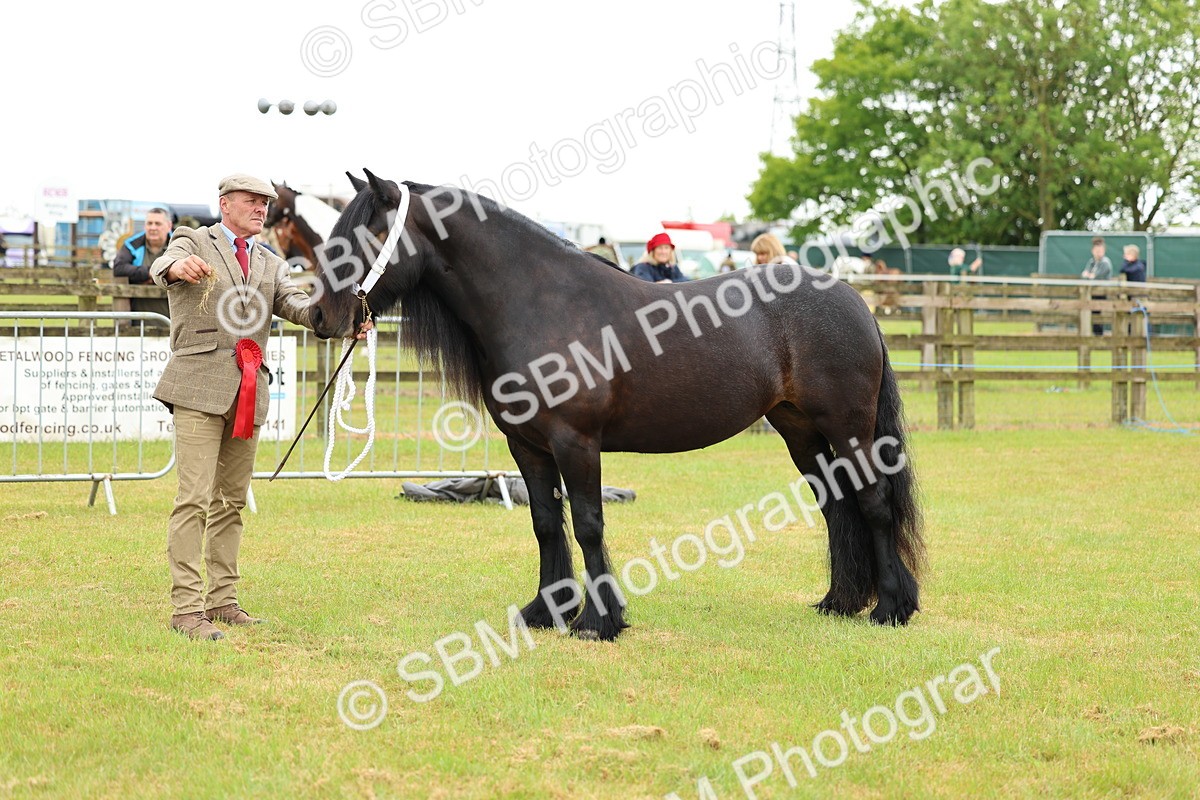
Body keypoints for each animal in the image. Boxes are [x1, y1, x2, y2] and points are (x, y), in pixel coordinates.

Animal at [309, 170, 925, 641]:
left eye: (367, 237)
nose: (319, 316)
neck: (539, 302)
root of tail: (854, 300)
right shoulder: (527, 446)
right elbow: (545, 523)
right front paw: (543, 612)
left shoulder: (576, 443)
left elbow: (587, 524)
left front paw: (598, 622)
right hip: (800, 431)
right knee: (836, 504)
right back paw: (839, 603)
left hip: (848, 427)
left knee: (872, 503)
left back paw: (890, 610)